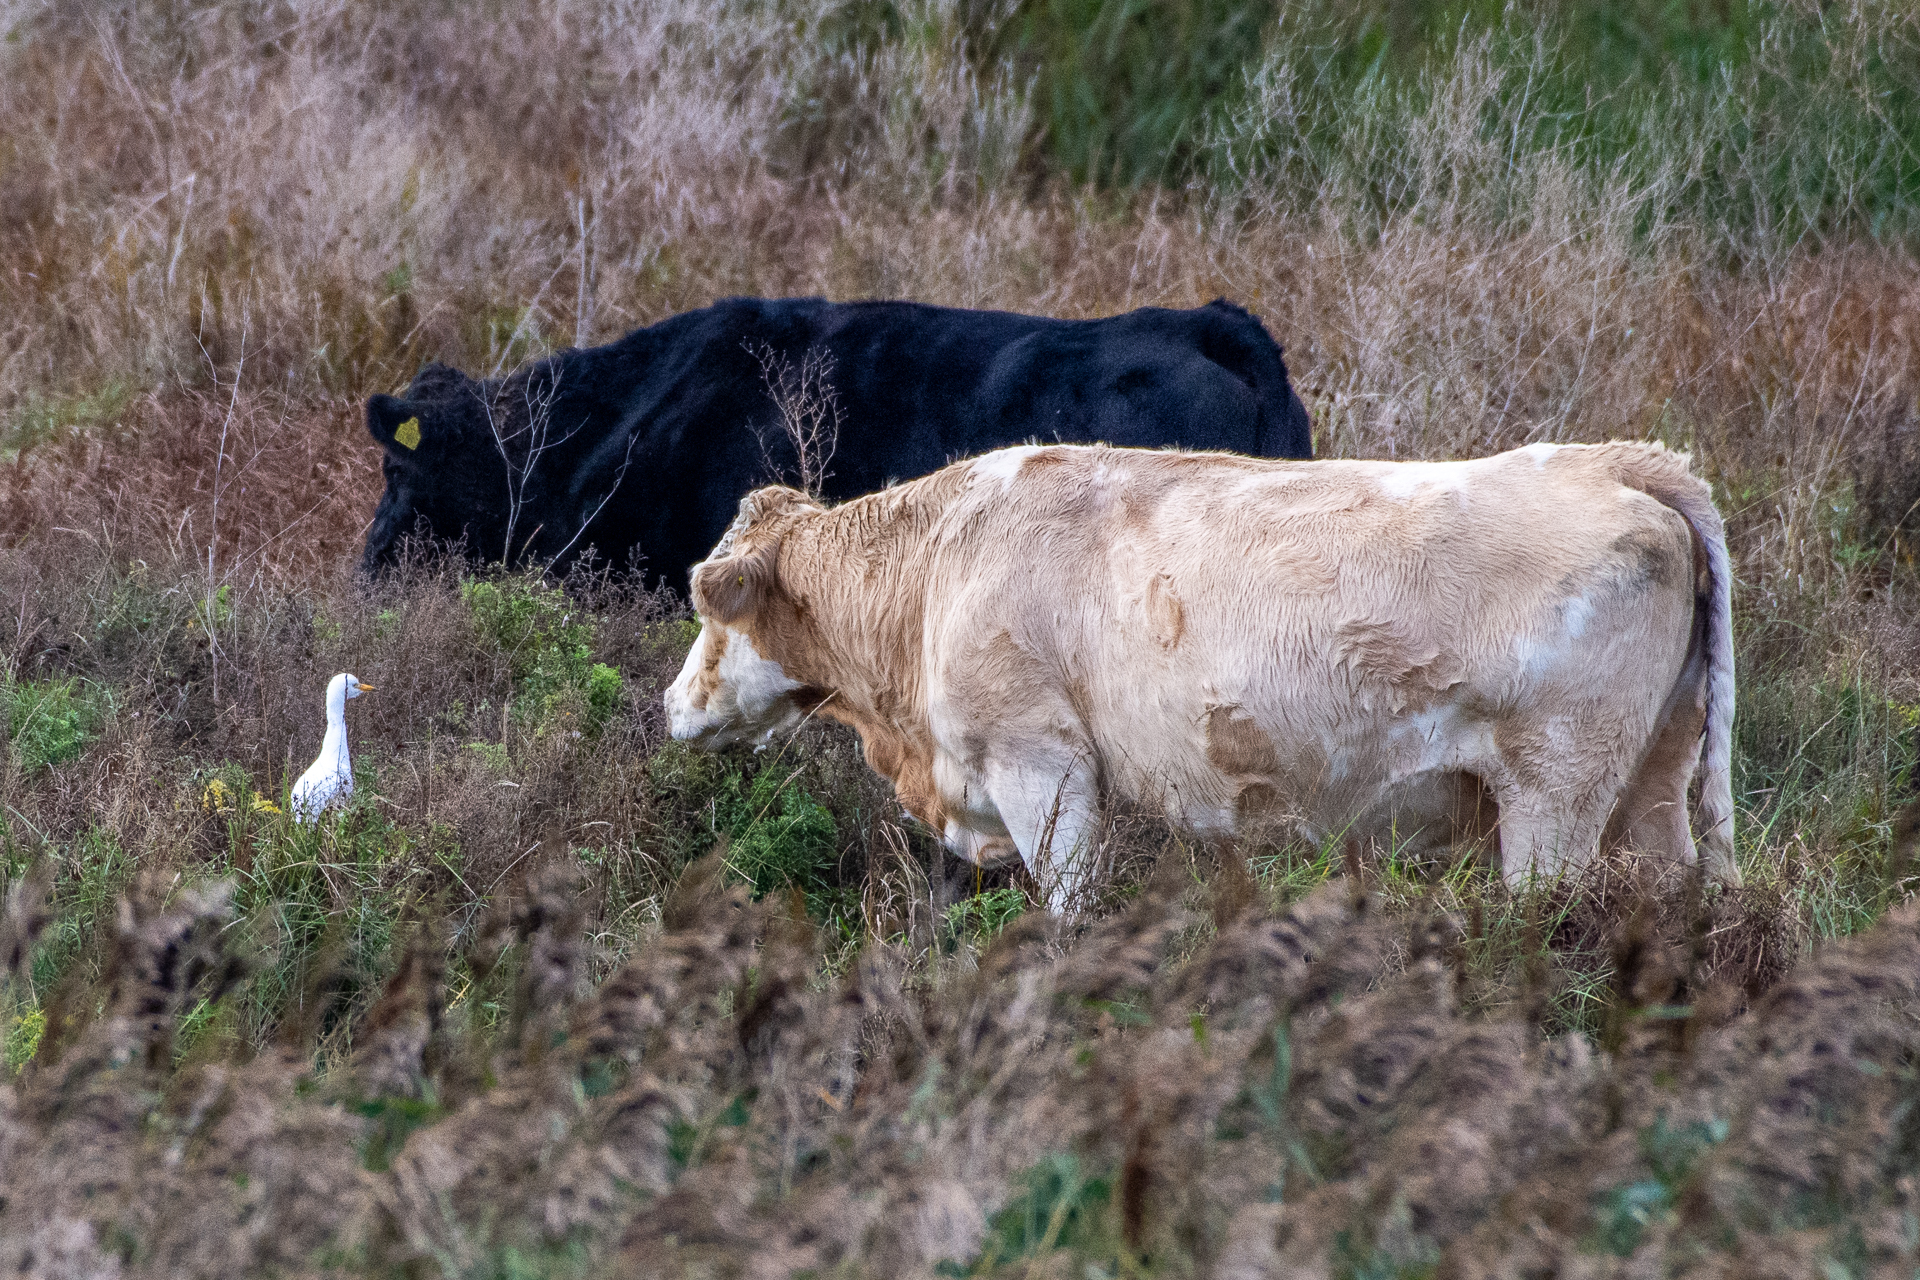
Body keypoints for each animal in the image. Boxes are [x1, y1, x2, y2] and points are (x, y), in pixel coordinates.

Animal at [672, 445, 1743, 905]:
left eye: (707, 607)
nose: (672, 703)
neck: (941, 562)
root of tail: (1614, 461)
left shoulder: (1041, 768)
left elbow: (1068, 905)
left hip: (1555, 800)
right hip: (1653, 786)